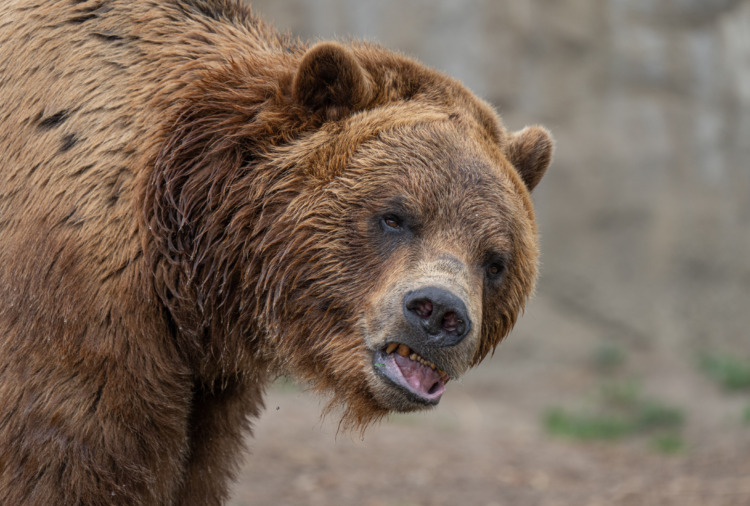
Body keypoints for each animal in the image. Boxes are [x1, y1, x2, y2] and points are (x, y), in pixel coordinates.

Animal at [0, 0, 552, 506]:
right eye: (395, 216)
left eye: (495, 260)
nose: (438, 313)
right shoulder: (81, 303)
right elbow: (72, 461)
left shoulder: (212, 387)